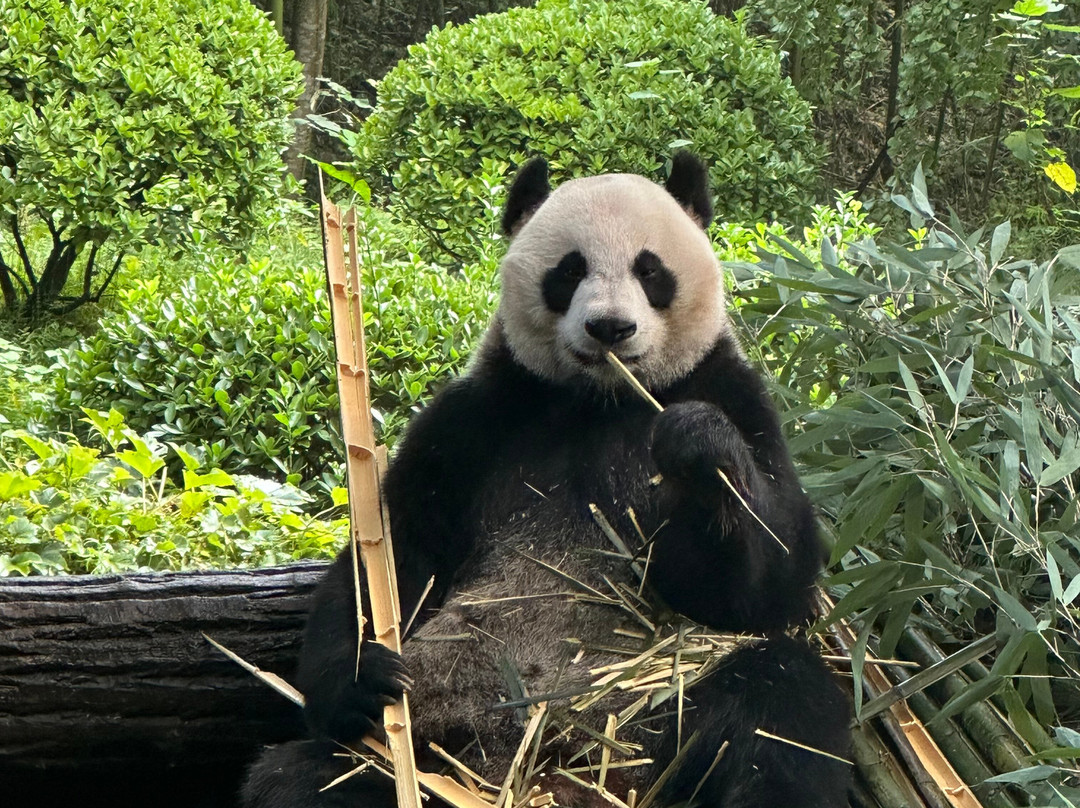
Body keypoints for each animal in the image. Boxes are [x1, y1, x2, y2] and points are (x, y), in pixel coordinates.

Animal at [242, 154, 852, 808]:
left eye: (650, 270)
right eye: (570, 270)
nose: (610, 328)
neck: (599, 399)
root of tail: (545, 780)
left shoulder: (732, 394)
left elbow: (769, 584)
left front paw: (697, 446)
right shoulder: (479, 418)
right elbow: (398, 551)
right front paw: (364, 676)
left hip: (655, 721)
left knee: (779, 705)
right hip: (431, 750)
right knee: (303, 778)